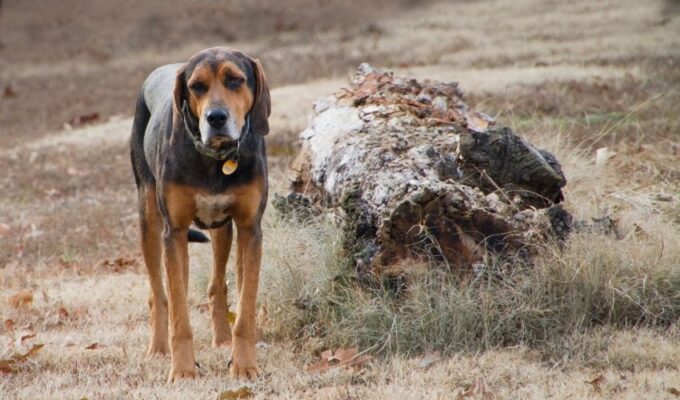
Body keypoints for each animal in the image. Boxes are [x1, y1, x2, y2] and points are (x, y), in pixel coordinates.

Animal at [130, 47, 270, 382]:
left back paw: (221, 339)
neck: (215, 161)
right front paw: (182, 370)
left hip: (222, 230)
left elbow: (245, 308)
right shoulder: (174, 231)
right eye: (196, 86)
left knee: (217, 285)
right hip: (150, 222)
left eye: (235, 80)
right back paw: (158, 348)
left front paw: (244, 365)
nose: (215, 117)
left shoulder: (250, 228)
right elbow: (178, 312)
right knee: (161, 294)